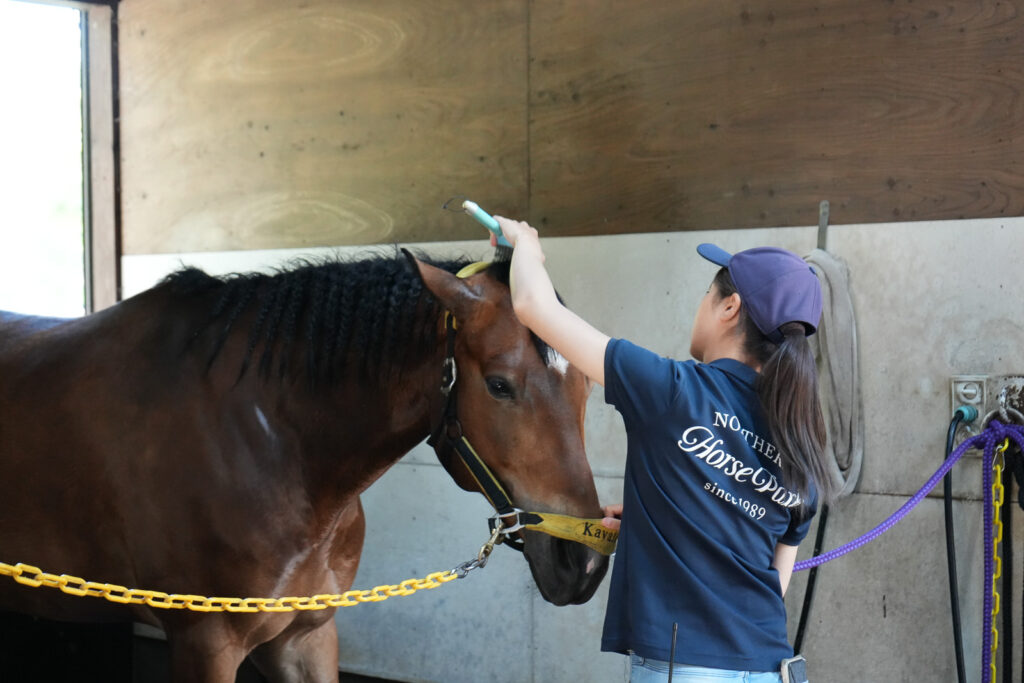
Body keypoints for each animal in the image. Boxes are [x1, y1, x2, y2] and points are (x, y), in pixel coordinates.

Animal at [0, 249, 610, 682]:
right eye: (499, 385)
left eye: (587, 382)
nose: (583, 563)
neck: (273, 444)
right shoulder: (204, 645)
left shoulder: (307, 636)